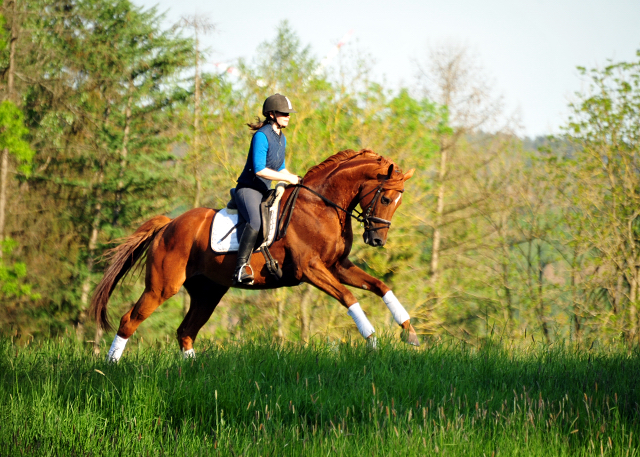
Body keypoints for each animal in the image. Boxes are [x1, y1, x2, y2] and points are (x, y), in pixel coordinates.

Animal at [91, 147, 420, 360]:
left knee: (185, 331)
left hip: (208, 292)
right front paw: (372, 340)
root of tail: (169, 224)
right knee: (129, 320)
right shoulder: (311, 269)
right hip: (162, 287)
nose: (376, 239)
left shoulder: (338, 265)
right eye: (386, 198)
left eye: (399, 202)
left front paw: (410, 333)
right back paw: (111, 367)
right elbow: (349, 297)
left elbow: (380, 286)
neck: (321, 206)